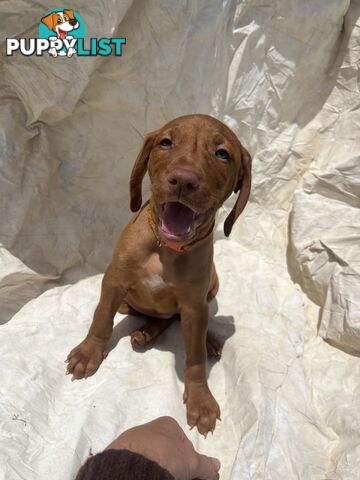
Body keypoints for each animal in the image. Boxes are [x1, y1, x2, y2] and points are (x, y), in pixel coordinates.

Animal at [66, 113, 252, 436]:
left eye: (222, 154)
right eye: (166, 142)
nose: (184, 180)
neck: (166, 248)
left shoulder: (194, 305)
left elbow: (195, 359)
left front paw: (200, 399)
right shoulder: (114, 280)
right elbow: (101, 318)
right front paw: (88, 353)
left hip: (212, 287)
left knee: (179, 320)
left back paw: (197, 339)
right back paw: (143, 331)